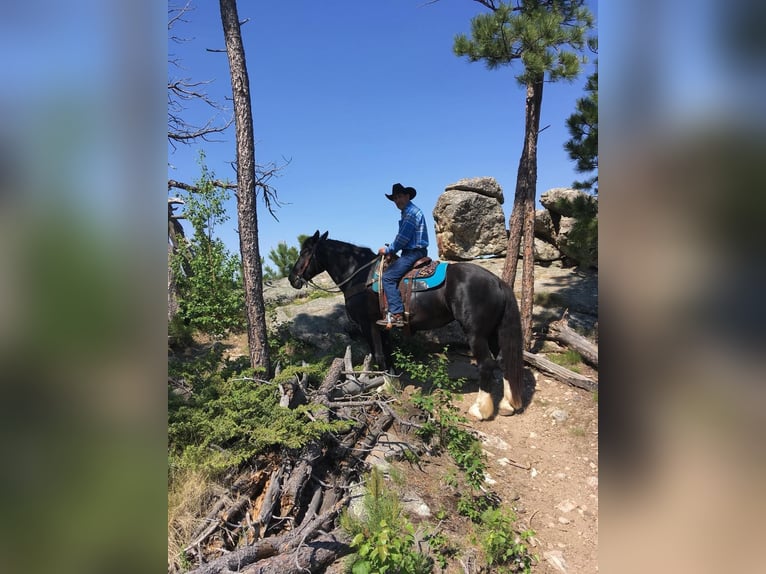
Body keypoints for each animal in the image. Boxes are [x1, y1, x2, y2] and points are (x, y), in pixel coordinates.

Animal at [290, 231, 528, 424]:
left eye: (305, 252)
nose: (292, 278)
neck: (359, 275)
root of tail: (497, 281)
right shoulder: (382, 326)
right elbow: (387, 355)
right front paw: (390, 384)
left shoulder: (368, 325)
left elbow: (378, 355)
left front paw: (386, 387)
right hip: (494, 332)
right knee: (503, 360)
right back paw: (507, 405)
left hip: (476, 334)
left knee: (486, 364)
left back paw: (480, 410)